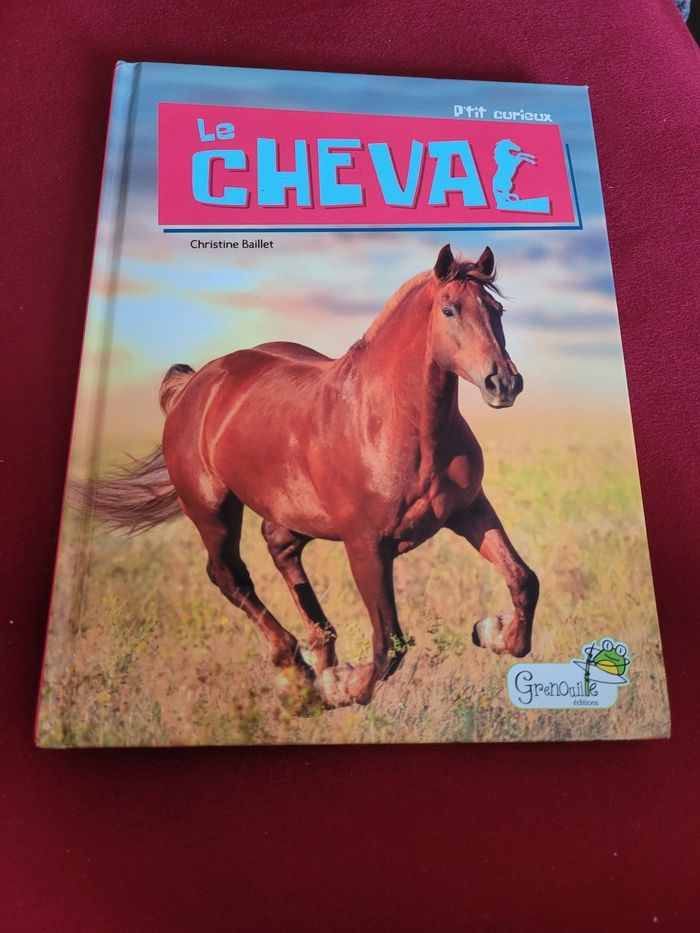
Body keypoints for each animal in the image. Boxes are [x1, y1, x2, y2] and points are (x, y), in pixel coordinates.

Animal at [89, 244, 539, 708]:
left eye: (497, 310)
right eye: (449, 310)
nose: (503, 382)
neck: (394, 424)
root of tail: (196, 384)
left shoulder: (468, 510)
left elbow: (524, 580)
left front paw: (491, 631)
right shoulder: (366, 546)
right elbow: (388, 644)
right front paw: (339, 687)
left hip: (294, 514)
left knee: (279, 547)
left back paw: (317, 654)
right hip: (212, 509)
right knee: (229, 575)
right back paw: (297, 671)